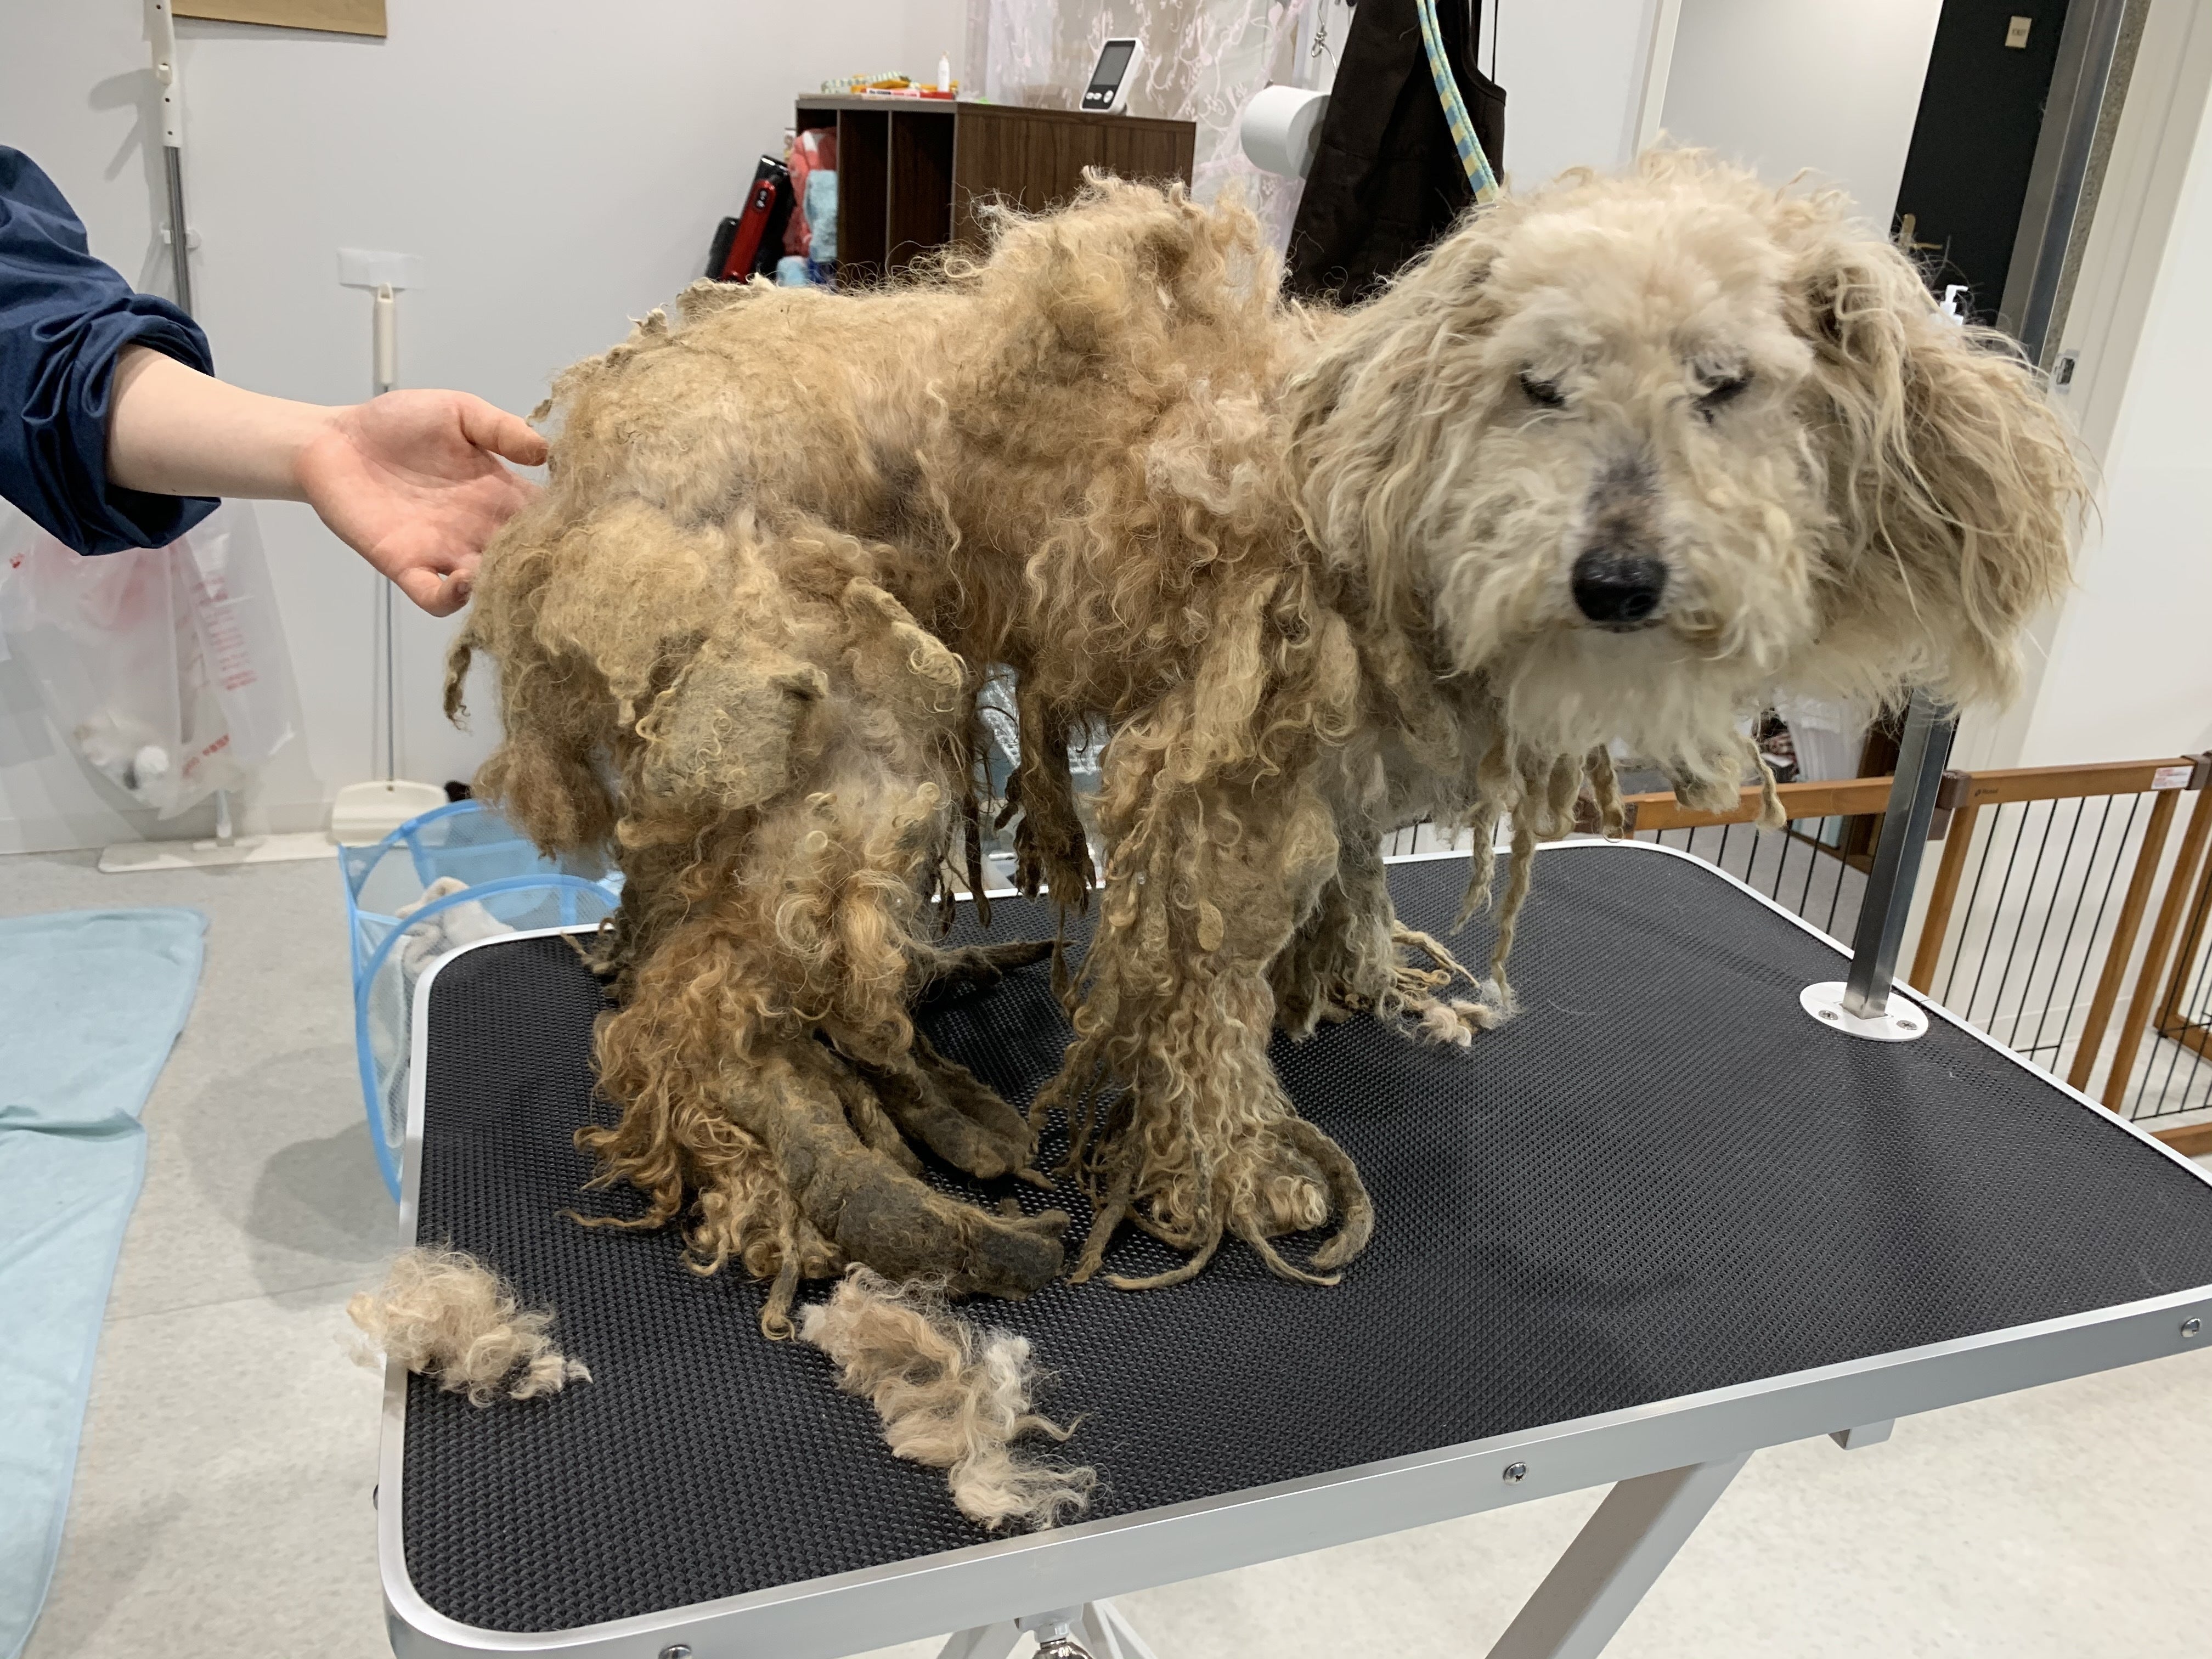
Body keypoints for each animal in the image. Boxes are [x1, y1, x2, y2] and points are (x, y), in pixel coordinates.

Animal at [449, 153, 2081, 1332]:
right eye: (1540, 384)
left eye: (1726, 385)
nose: (1614, 579)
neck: (1382, 492)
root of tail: (592, 430)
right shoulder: (1219, 787)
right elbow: (1204, 993)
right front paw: (1235, 1169)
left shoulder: (1330, 781)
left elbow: (1342, 882)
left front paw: (1345, 978)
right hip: (852, 731)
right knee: (705, 1024)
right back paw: (908, 1207)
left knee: (727, 972)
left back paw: (947, 1100)